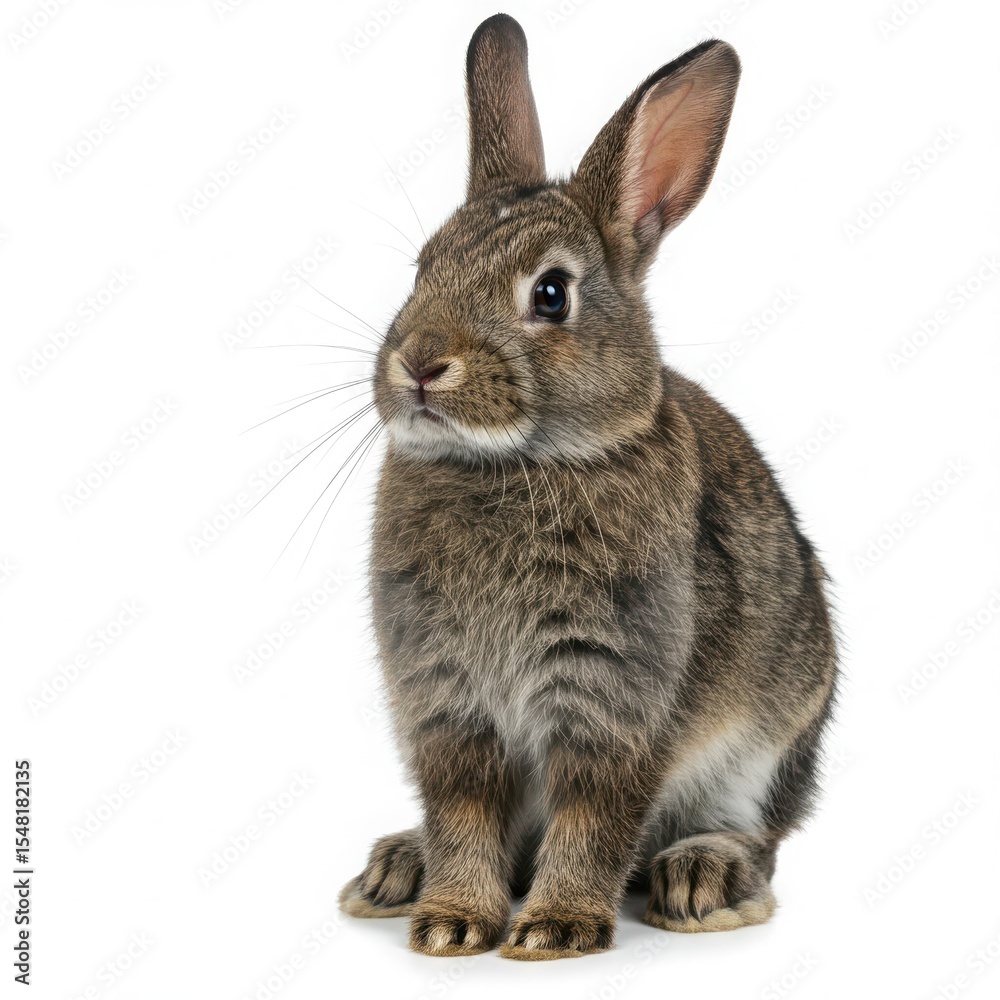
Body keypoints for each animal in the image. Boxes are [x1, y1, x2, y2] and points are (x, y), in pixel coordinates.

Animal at [338, 13, 837, 960]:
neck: (517, 462)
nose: (418, 362)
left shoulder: (613, 694)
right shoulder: (446, 703)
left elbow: (594, 814)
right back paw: (396, 870)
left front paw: (555, 930)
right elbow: (464, 810)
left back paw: (702, 880)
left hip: (771, 741)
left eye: (550, 294)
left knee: (759, 838)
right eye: (423, 268)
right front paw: (452, 923)